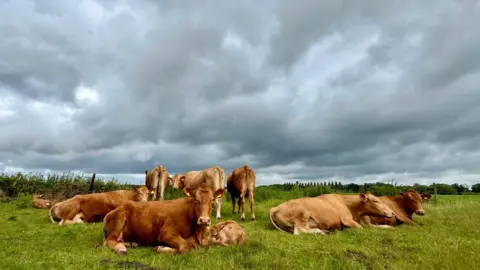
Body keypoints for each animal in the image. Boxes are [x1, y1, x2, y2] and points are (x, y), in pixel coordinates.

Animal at [268, 192, 396, 234]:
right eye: (375, 201)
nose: (393, 213)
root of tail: (275, 207)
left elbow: (378, 226)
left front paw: (390, 228)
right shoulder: (347, 220)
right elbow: (363, 229)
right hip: (303, 213)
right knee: (298, 231)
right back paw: (320, 232)